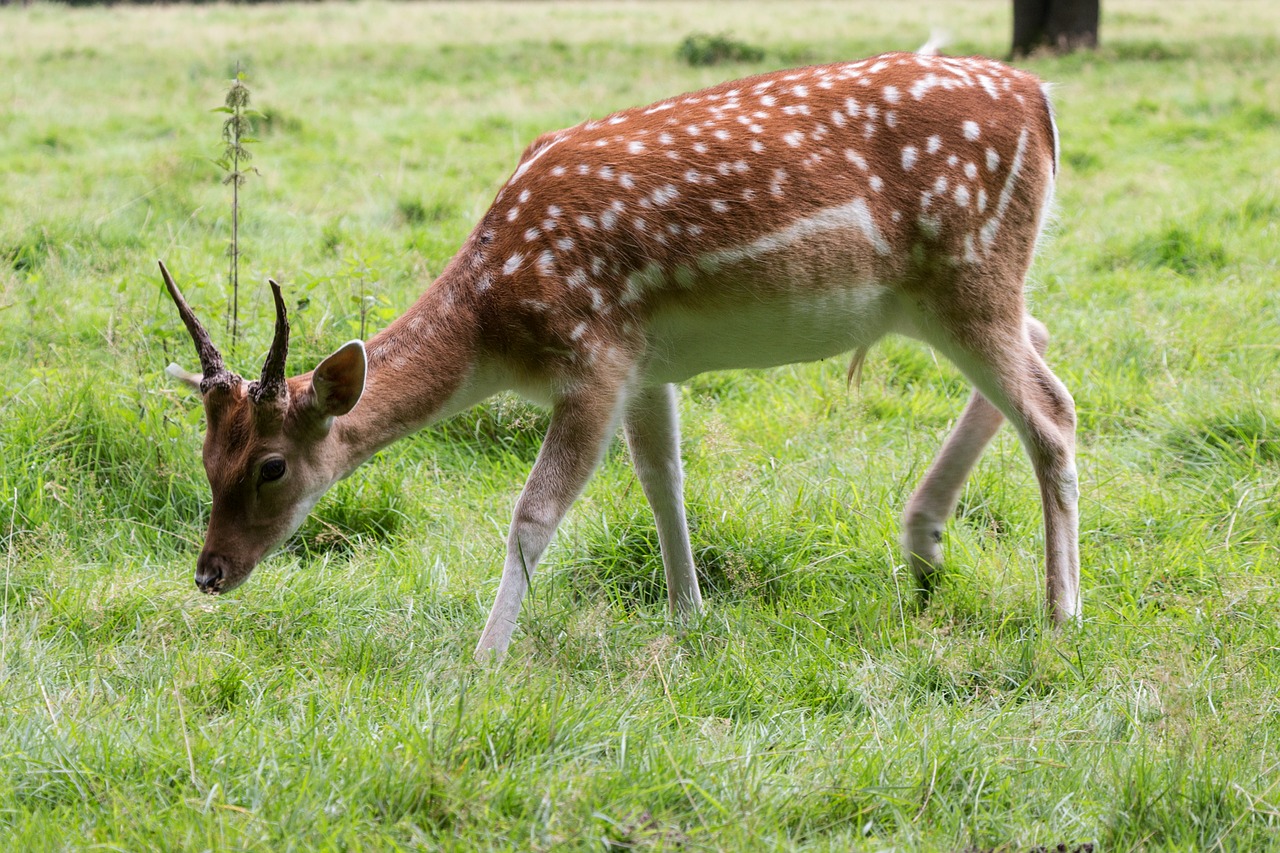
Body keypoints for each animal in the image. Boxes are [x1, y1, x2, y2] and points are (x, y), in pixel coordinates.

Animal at [162, 49, 1080, 653]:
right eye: (206, 456)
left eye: (271, 465)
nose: (209, 573)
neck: (497, 325)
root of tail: (1041, 100)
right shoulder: (646, 365)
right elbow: (661, 477)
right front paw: (688, 614)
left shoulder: (594, 358)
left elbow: (533, 515)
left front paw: (482, 660)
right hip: (946, 293)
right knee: (1037, 343)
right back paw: (923, 547)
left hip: (969, 268)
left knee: (1053, 408)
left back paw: (1061, 611)